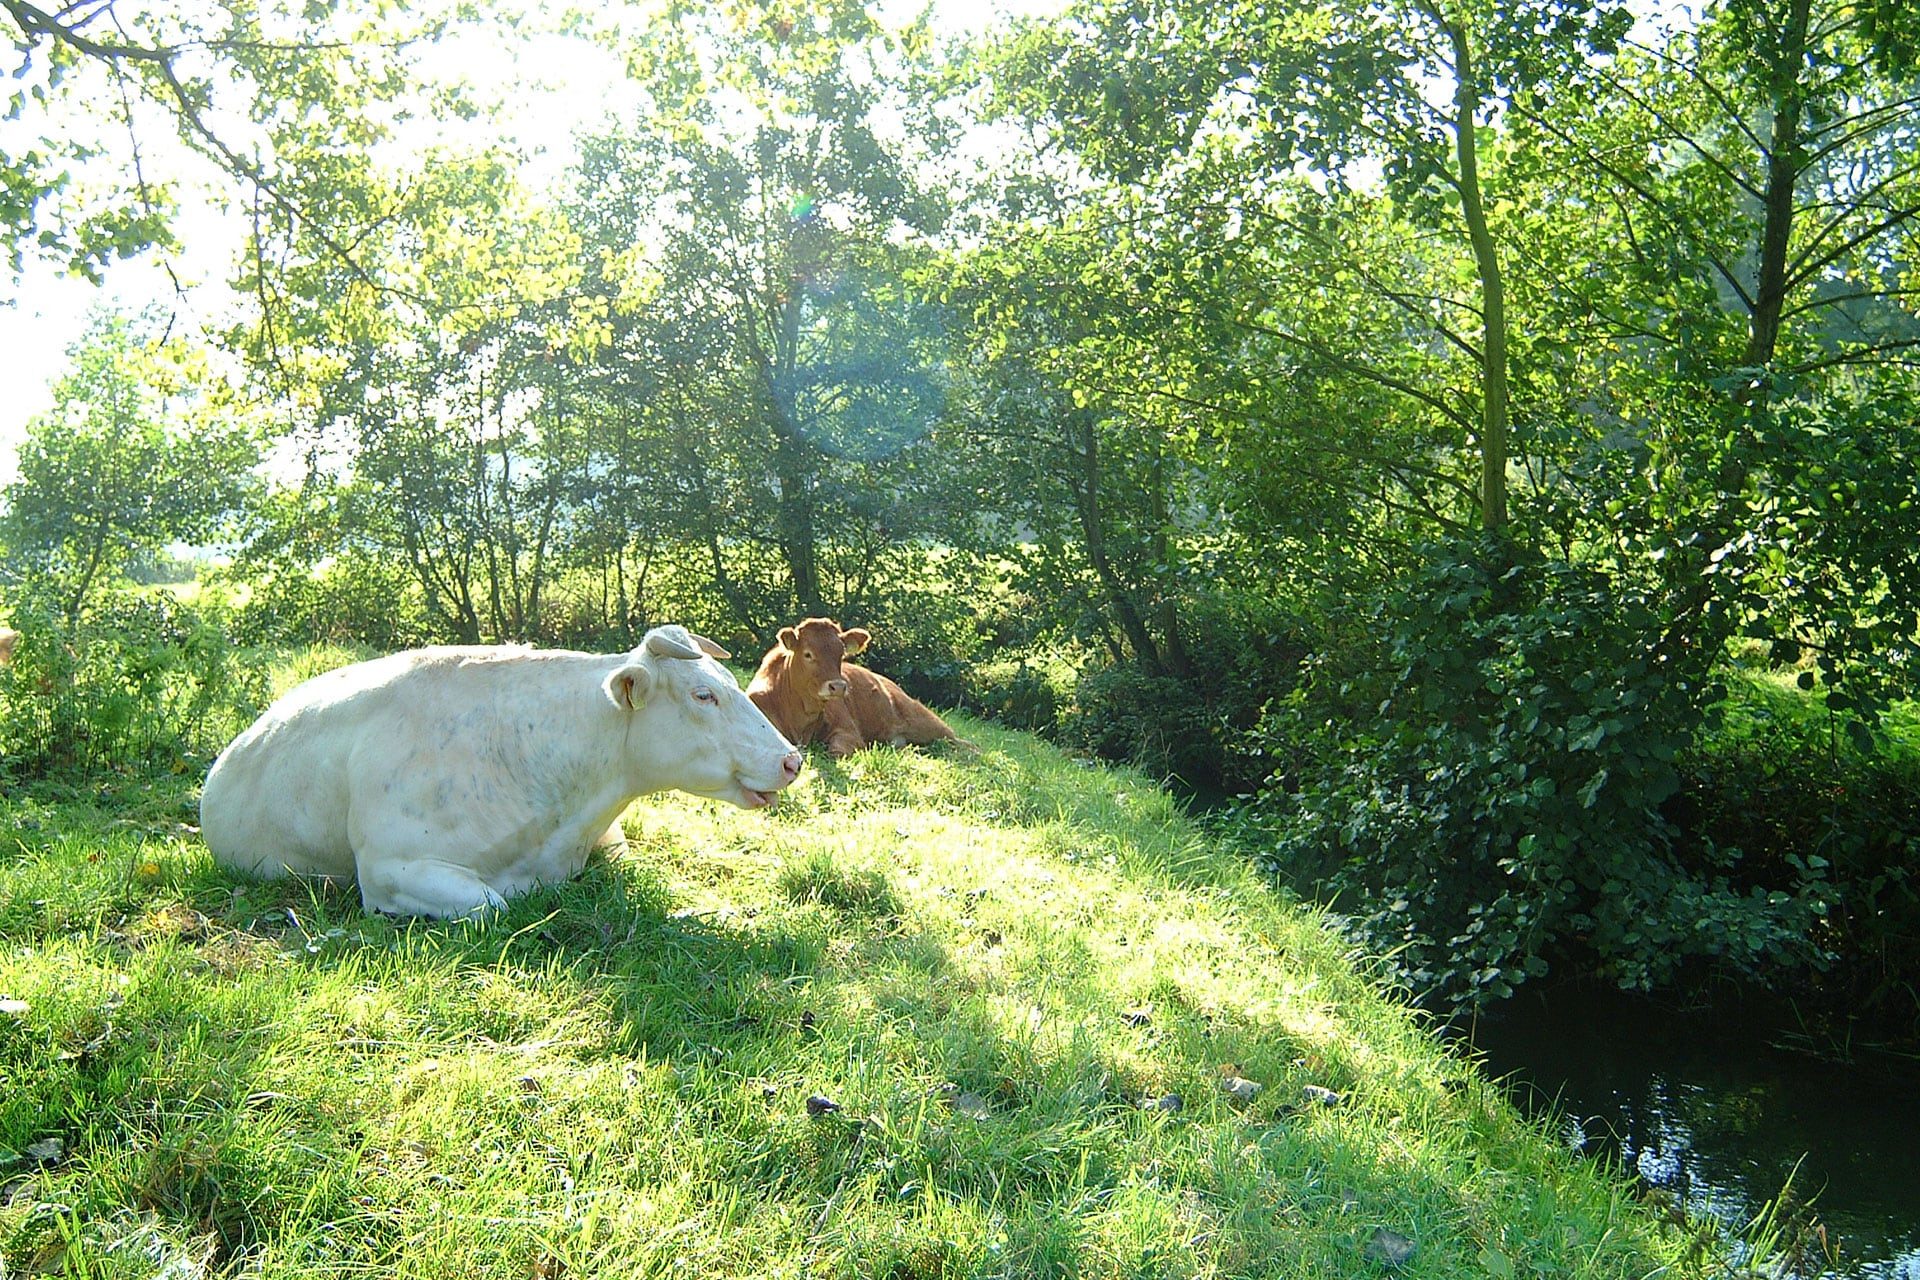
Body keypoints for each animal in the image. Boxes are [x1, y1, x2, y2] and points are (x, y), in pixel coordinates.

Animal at [744, 621, 975, 759]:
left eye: (841, 653)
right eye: (808, 654)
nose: (838, 686)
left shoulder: (849, 732)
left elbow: (836, 751)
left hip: (923, 720)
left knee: (958, 741)